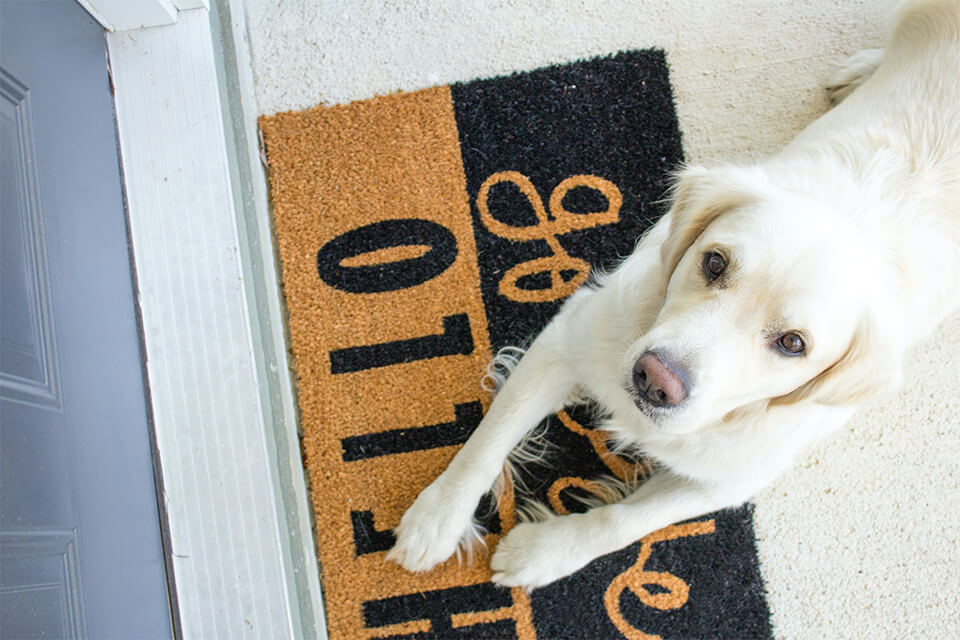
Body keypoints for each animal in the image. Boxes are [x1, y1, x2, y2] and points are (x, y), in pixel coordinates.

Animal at [384, 0, 960, 592]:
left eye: (793, 344)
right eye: (714, 262)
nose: (655, 381)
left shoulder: (731, 478)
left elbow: (623, 521)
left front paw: (546, 551)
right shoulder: (572, 334)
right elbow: (490, 436)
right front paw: (437, 516)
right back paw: (862, 68)